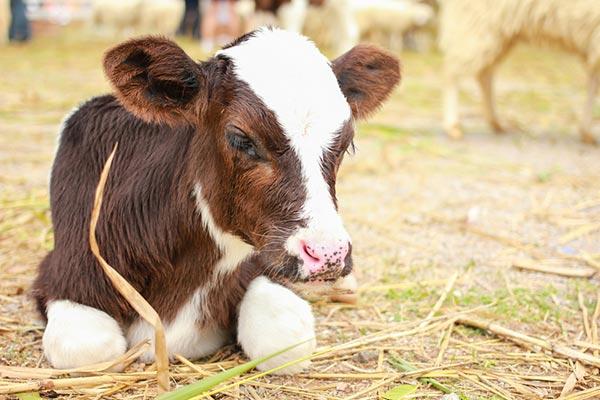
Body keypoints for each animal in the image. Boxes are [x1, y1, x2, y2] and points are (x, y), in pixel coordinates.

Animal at [31, 27, 398, 372]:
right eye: (240, 138)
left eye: (346, 143)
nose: (328, 255)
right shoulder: (64, 272)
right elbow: (90, 350)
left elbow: (287, 340)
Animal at [438, 0, 600, 144]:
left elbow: (593, 84)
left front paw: (586, 132)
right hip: (478, 21)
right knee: (452, 70)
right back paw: (452, 126)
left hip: (501, 32)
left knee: (484, 73)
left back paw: (495, 122)